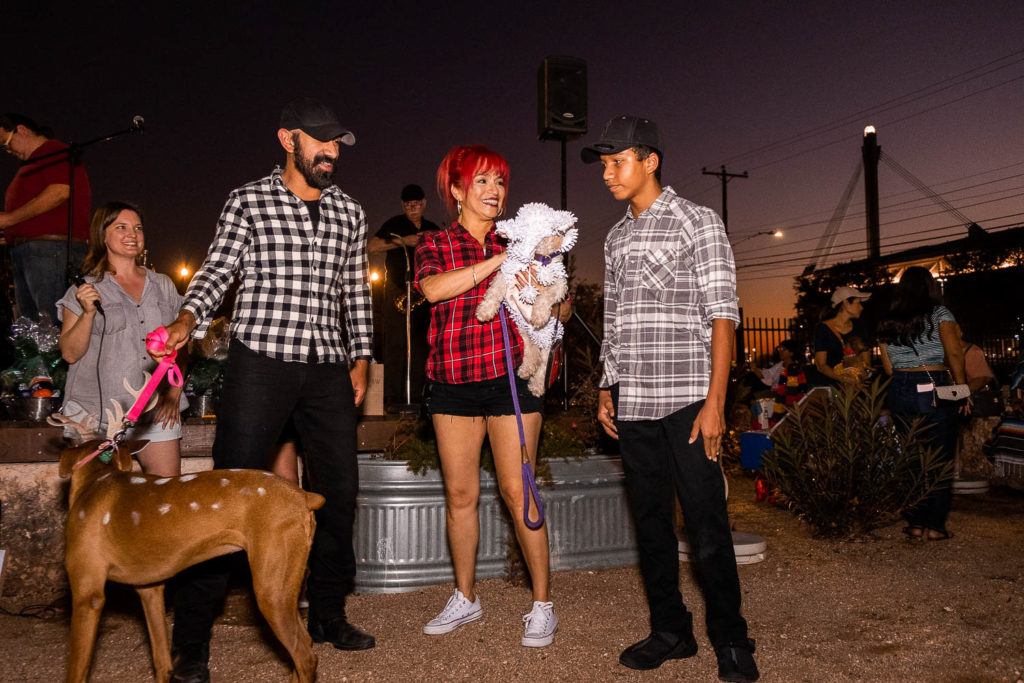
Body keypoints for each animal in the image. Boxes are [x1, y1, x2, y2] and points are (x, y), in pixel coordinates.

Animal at [54, 403, 323, 679]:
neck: (96, 482)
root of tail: (303, 496)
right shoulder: (150, 589)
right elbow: (162, 660)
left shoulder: (88, 593)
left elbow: (76, 670)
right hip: (285, 586)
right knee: (305, 646)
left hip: (272, 590)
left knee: (305, 656)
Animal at [477, 201, 581, 395]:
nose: (505, 233)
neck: (538, 259)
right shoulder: (508, 274)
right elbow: (494, 291)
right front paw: (485, 311)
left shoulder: (559, 285)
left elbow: (545, 296)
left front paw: (539, 315)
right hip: (524, 333)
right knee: (532, 354)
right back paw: (526, 369)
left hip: (550, 345)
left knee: (543, 366)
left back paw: (537, 386)